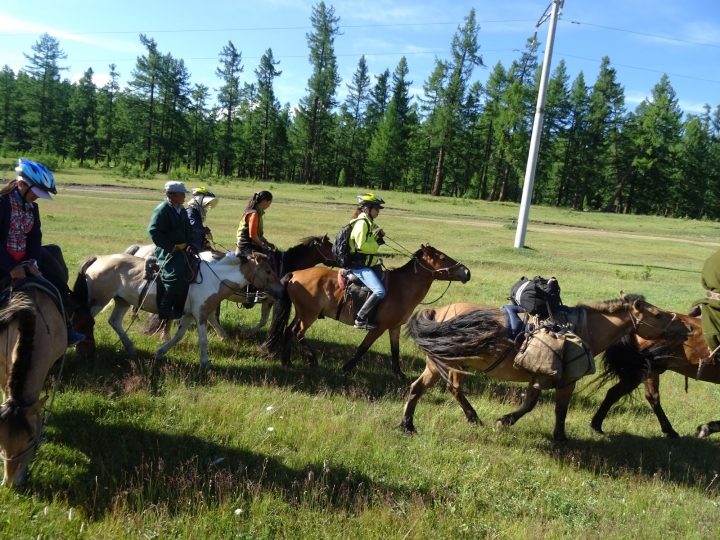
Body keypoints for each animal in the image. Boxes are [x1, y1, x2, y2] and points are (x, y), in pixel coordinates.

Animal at [70, 253, 282, 368]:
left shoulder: (188, 315)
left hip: (122, 301)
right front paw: (205, 362)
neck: (215, 279)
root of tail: (98, 259)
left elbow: (178, 336)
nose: (280, 289)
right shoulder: (201, 314)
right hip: (97, 302)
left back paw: (130, 348)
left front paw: (159, 352)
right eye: (268, 270)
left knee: (114, 321)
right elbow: (203, 340)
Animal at [262, 245, 470, 376]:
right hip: (309, 315)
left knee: (289, 331)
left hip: (302, 312)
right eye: (442, 258)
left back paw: (287, 361)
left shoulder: (394, 327)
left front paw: (399, 374)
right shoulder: (378, 327)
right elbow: (363, 348)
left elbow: (395, 351)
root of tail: (295, 274)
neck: (401, 288)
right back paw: (312, 360)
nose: (466, 272)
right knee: (298, 333)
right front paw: (346, 368)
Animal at [402, 296, 688, 442]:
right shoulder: (566, 381)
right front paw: (559, 437)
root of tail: (438, 310)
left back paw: (417, 424)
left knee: (434, 388)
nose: (686, 327)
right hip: (442, 364)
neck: (581, 329)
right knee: (431, 388)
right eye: (658, 315)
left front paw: (506, 421)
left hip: (445, 365)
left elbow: (530, 403)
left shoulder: (537, 378)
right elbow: (560, 409)